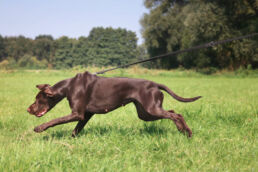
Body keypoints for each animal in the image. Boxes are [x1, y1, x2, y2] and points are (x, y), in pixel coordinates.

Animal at [28, 71, 202, 137]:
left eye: (37, 99)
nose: (28, 109)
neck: (69, 86)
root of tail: (155, 84)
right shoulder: (86, 115)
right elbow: (75, 130)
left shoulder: (77, 114)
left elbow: (54, 120)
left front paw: (39, 128)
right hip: (146, 113)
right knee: (173, 112)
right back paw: (182, 130)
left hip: (151, 109)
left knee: (177, 114)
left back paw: (187, 132)